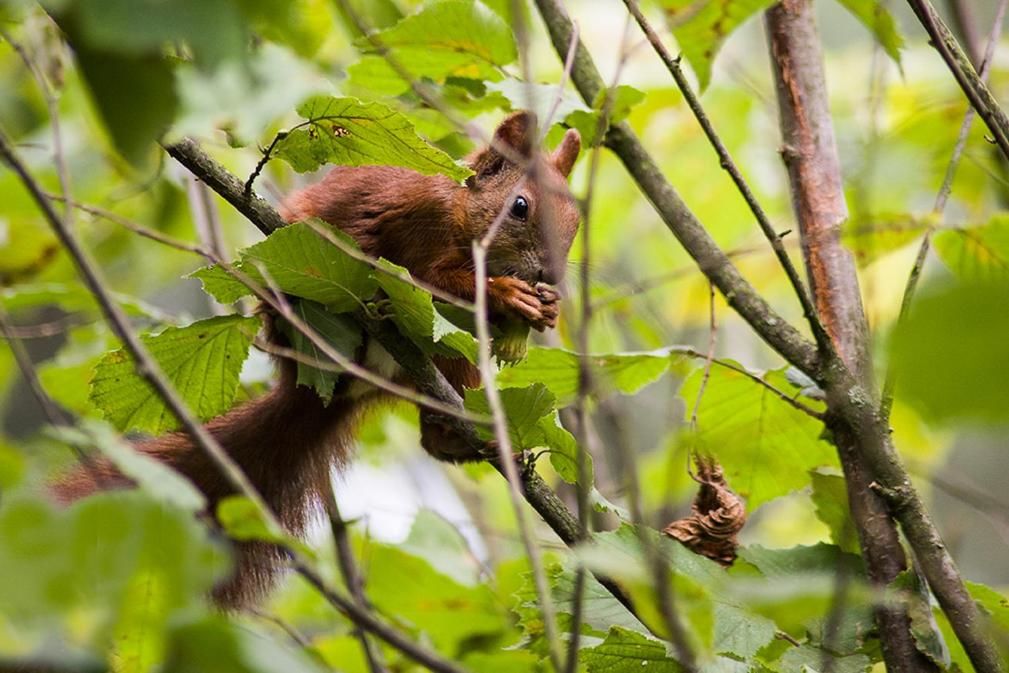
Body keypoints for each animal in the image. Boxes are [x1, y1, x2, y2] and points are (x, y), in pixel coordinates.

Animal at [53, 110, 585, 605]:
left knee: (434, 434)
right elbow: (428, 281)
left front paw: (546, 310)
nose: (552, 277)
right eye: (520, 207)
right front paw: (506, 293)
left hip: (452, 364)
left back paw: (470, 437)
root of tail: (314, 387)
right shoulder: (417, 223)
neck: (461, 213)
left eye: (576, 222)